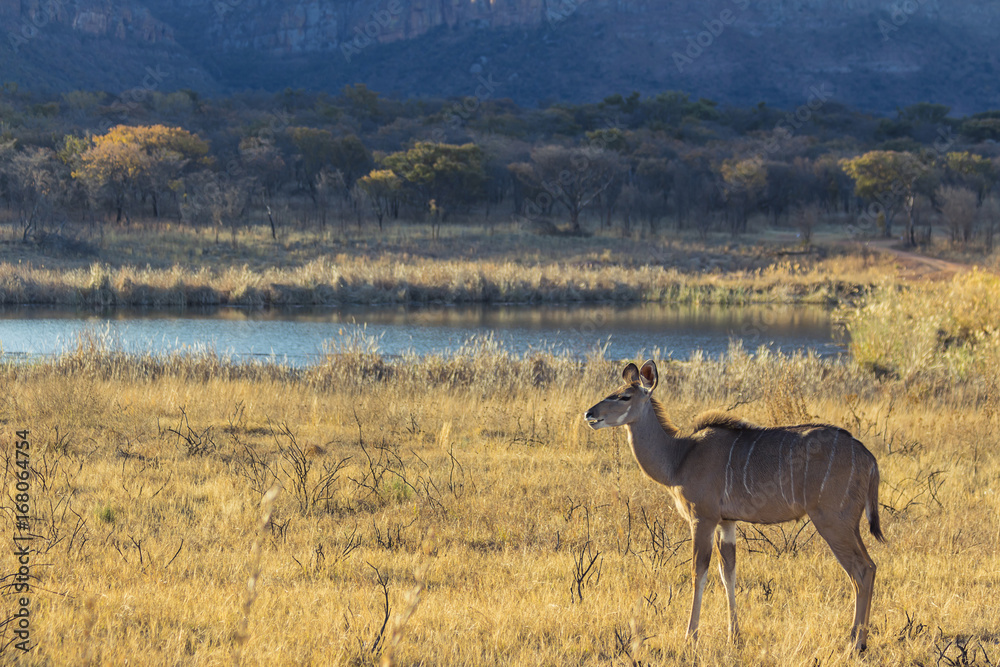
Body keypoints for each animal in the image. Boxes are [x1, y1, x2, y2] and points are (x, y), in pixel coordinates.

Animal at [584, 360, 884, 652]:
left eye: (624, 396)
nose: (589, 414)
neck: (679, 457)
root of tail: (869, 459)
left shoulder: (702, 519)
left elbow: (699, 572)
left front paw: (690, 639)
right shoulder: (726, 522)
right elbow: (728, 572)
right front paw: (734, 637)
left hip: (832, 522)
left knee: (861, 570)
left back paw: (855, 643)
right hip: (848, 524)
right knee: (870, 567)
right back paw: (860, 641)